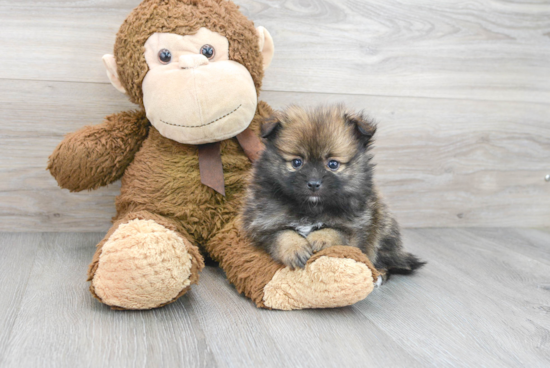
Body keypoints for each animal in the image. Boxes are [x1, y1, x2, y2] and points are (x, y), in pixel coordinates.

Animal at [243, 105, 426, 280]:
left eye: (332, 164)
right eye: (296, 162)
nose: (314, 183)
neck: (311, 208)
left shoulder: (353, 227)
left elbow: (334, 231)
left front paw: (319, 239)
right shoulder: (263, 225)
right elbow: (283, 234)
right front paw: (296, 248)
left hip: (383, 229)